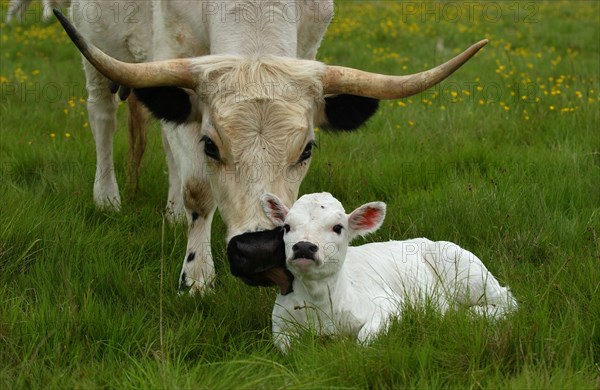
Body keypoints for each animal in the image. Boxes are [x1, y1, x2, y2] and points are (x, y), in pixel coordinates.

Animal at [54, 0, 490, 296]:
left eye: (307, 149)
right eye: (211, 146)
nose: (259, 249)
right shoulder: (173, 53)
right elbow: (199, 189)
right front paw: (196, 278)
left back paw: (172, 211)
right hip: (97, 52)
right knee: (102, 116)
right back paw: (107, 197)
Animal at [260, 193, 516, 354]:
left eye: (338, 227)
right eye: (287, 227)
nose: (304, 247)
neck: (320, 303)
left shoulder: (389, 306)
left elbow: (364, 340)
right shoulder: (279, 325)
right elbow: (289, 348)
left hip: (470, 276)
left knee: (507, 303)